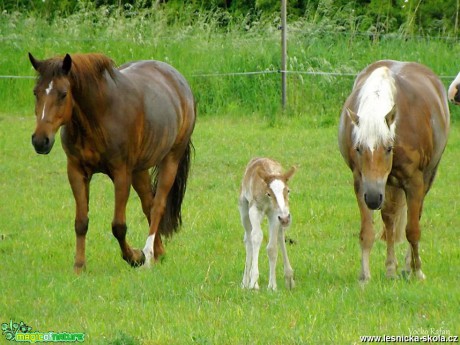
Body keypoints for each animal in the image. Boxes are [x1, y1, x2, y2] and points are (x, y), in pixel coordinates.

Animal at [28, 51, 194, 272]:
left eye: (63, 93)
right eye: (36, 92)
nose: (40, 141)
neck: (99, 116)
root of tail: (178, 79)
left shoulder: (121, 174)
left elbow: (118, 226)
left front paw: (134, 257)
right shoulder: (76, 171)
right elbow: (81, 222)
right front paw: (79, 266)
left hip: (171, 159)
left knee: (158, 206)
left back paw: (148, 254)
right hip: (139, 170)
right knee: (148, 204)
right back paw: (158, 252)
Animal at [239, 157, 296, 288]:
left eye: (288, 191)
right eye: (269, 193)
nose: (286, 218)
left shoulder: (275, 215)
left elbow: (272, 248)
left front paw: (272, 285)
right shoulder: (254, 210)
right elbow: (256, 237)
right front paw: (254, 282)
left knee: (280, 236)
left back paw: (288, 277)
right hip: (244, 208)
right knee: (248, 238)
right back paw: (245, 282)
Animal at [338, 59, 450, 282]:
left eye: (389, 148)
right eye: (358, 148)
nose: (373, 198)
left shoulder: (414, 182)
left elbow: (413, 230)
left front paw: (417, 271)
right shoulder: (362, 183)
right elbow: (367, 232)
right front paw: (364, 275)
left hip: (425, 179)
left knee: (414, 217)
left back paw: (408, 267)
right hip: (387, 187)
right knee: (389, 220)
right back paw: (390, 269)